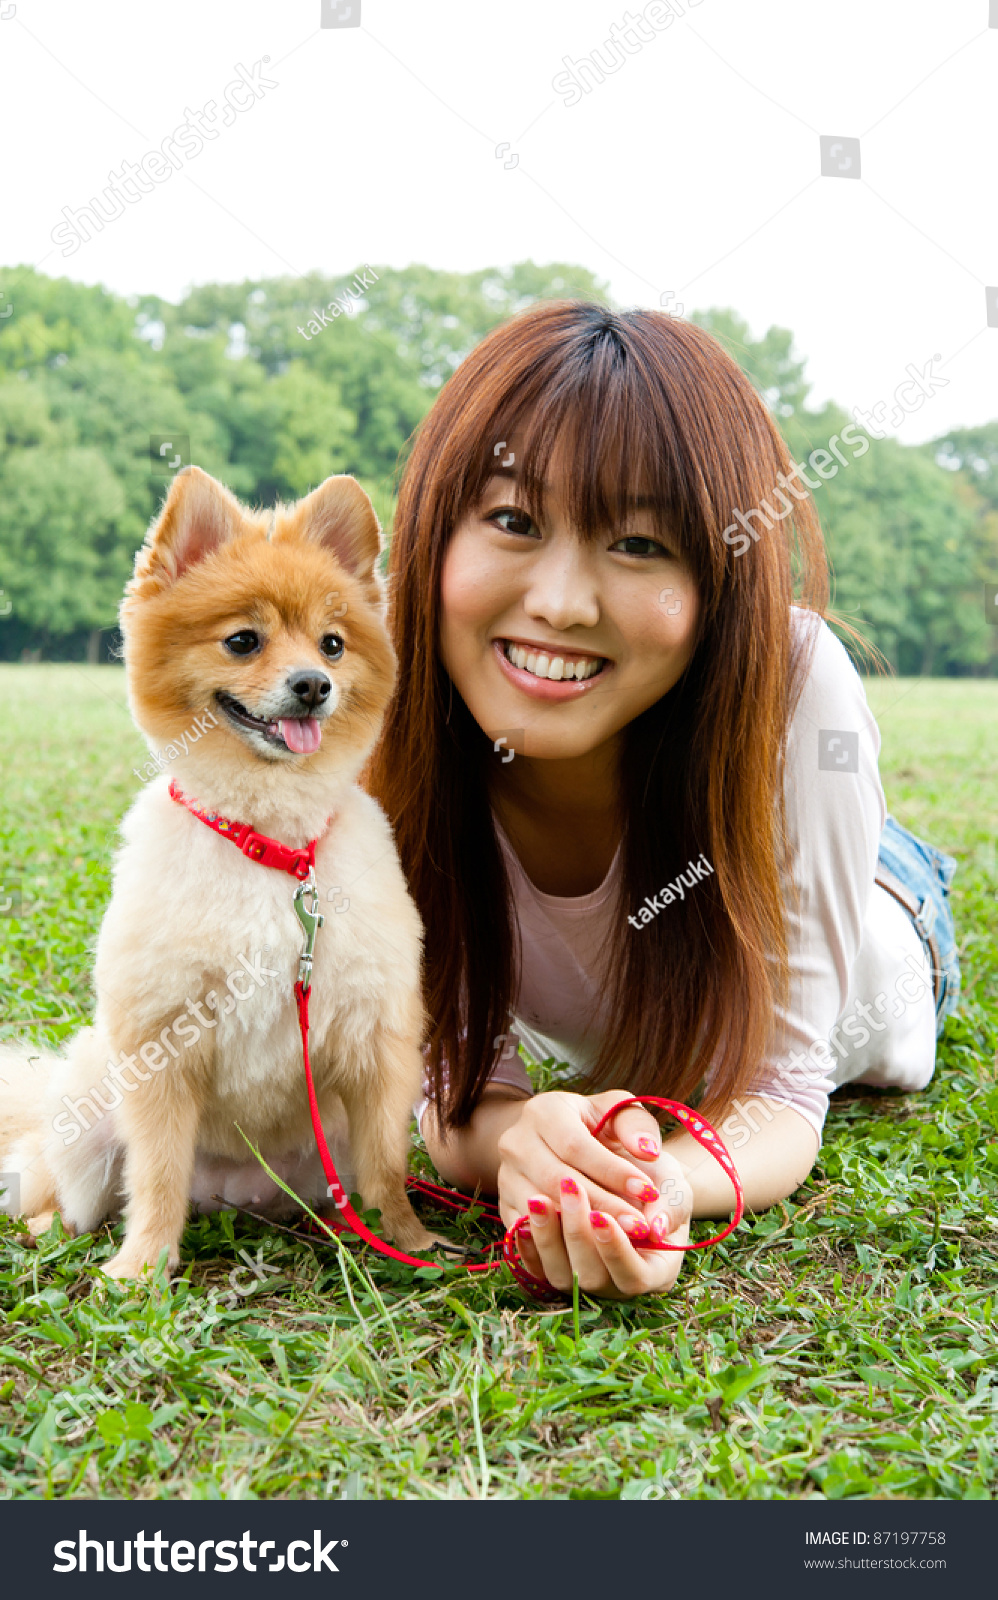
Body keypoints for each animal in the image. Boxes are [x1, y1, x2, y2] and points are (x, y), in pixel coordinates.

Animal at [0, 464, 435, 1273]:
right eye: (242, 640)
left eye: (333, 644)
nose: (312, 683)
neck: (268, 842)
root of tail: (235, 1194)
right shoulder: (160, 1040)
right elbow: (157, 1171)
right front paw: (143, 1266)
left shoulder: (376, 1037)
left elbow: (389, 1162)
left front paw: (410, 1240)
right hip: (87, 1107)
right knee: (63, 1187)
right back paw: (48, 1229)